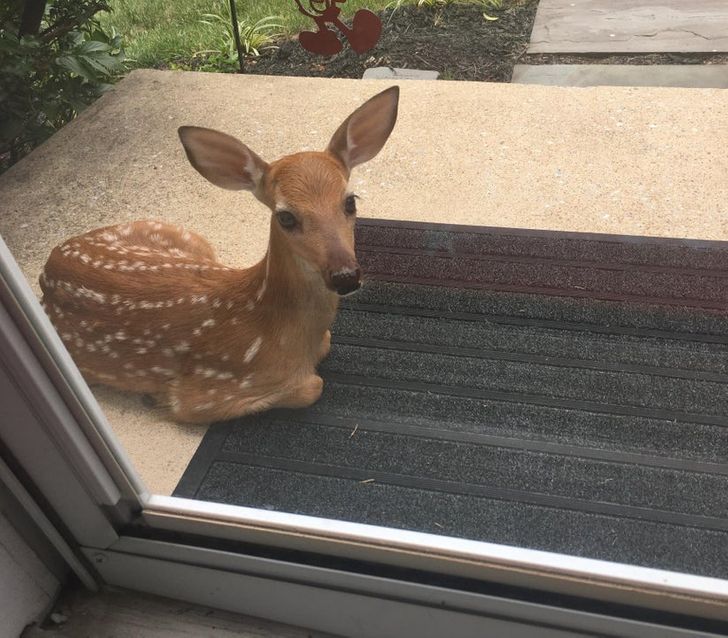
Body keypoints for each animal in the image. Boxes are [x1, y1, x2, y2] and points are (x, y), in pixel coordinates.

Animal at [39, 86, 399, 424]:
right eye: (286, 217)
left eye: (350, 202)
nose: (345, 275)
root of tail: (47, 269)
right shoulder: (204, 395)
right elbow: (313, 386)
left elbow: (327, 343)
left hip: (184, 235)